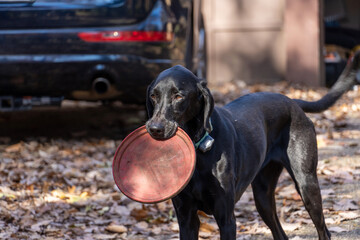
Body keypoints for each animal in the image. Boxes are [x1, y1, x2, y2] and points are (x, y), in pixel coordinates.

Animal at [145, 51, 358, 239]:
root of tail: (291, 101)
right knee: (280, 233)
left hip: (307, 185)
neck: (199, 152)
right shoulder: (186, 218)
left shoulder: (226, 219)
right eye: (153, 96)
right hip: (263, 197)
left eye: (178, 96)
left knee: (323, 230)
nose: (155, 128)